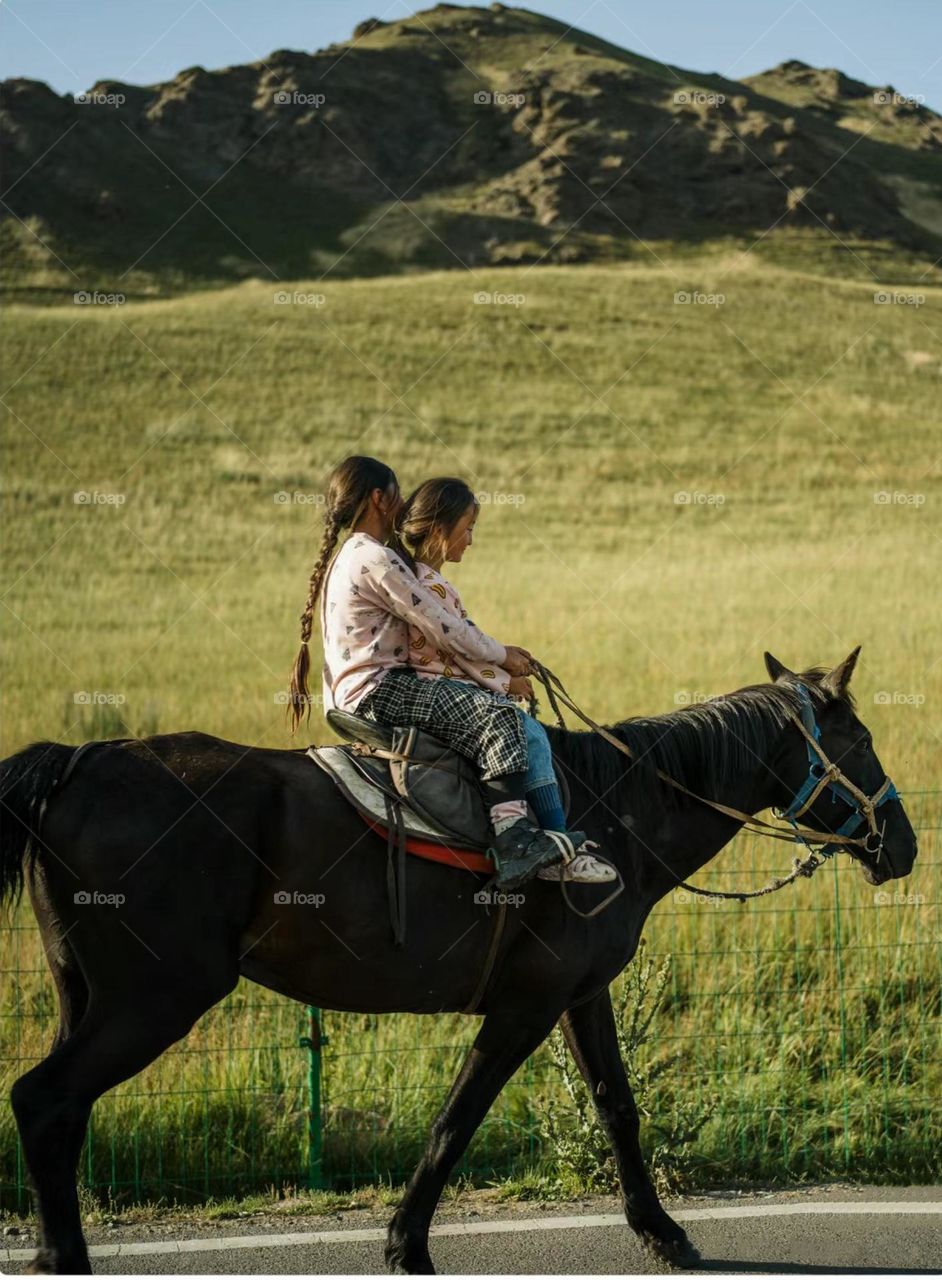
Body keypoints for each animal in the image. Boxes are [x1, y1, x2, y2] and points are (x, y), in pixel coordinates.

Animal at [0, 655, 911, 1274]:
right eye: (861, 740)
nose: (901, 845)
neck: (612, 809)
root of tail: (79, 760)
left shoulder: (581, 996)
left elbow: (617, 1107)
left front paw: (663, 1232)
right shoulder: (525, 1006)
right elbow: (457, 1118)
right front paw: (406, 1244)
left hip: (88, 997)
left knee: (57, 1112)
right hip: (154, 999)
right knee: (44, 1101)